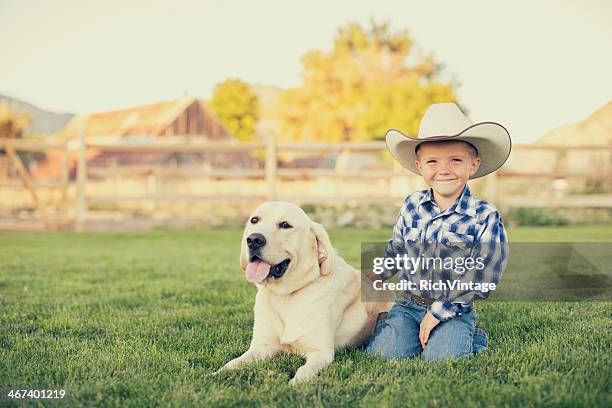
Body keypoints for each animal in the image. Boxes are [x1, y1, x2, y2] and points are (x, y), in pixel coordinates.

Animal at [219, 202, 392, 384]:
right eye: (254, 220)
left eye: (285, 225)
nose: (253, 240)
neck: (287, 296)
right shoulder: (261, 347)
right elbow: (233, 363)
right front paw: (215, 374)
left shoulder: (321, 352)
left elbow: (303, 372)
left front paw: (293, 385)